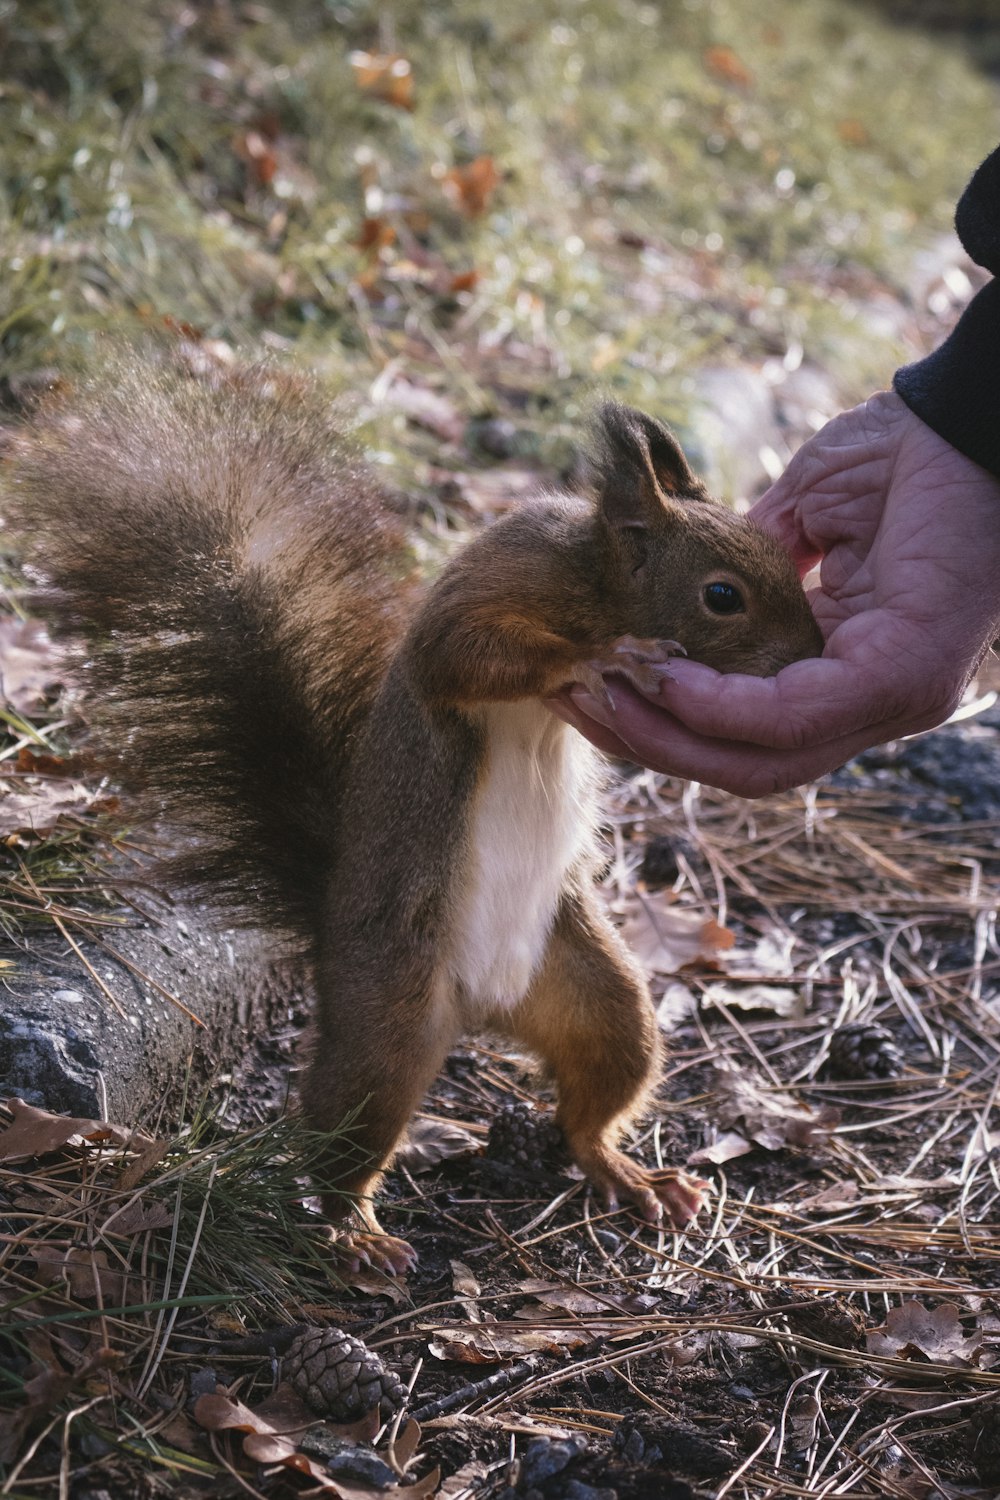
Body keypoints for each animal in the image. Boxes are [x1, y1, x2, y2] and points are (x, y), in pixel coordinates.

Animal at [3, 357, 827, 1272]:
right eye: (722, 595)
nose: (816, 651)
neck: (599, 583)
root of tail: (483, 1007)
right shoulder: (501, 581)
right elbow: (466, 653)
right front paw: (604, 659)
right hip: (388, 1016)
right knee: (344, 1134)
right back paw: (354, 1230)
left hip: (599, 997)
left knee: (593, 1101)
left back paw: (628, 1174)